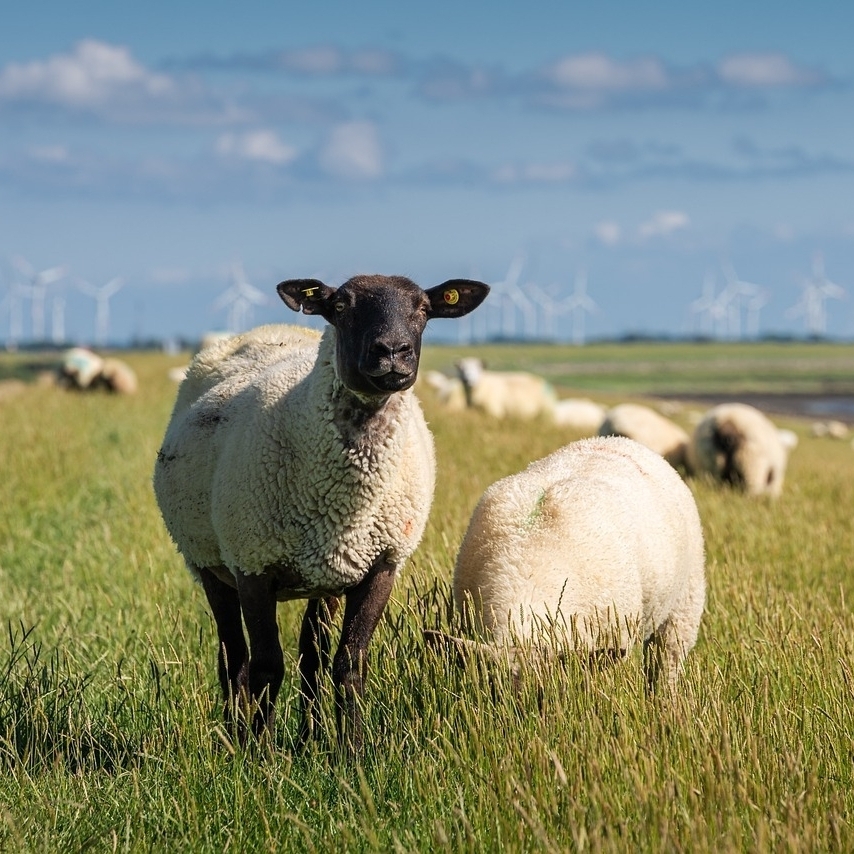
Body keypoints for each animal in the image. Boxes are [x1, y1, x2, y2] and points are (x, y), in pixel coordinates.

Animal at [152, 274, 488, 748]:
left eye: (424, 308)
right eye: (341, 306)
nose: (393, 351)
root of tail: (265, 330)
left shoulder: (381, 565)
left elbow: (349, 662)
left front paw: (352, 749)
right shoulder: (252, 565)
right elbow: (266, 666)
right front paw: (261, 751)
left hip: (326, 575)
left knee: (311, 655)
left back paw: (310, 735)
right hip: (208, 561)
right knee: (233, 656)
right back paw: (236, 735)